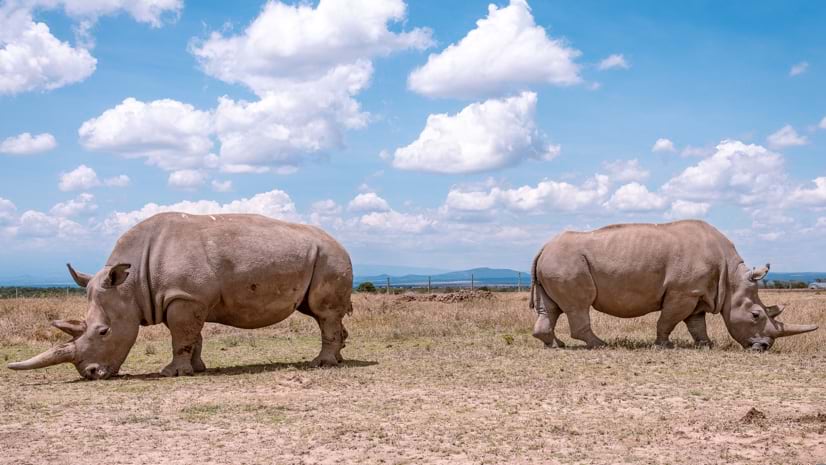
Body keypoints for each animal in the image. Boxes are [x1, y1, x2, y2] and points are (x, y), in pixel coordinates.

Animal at [8, 212, 352, 378]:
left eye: (103, 331)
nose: (91, 374)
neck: (130, 284)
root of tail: (340, 242)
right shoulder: (189, 298)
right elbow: (192, 336)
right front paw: (197, 369)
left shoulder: (184, 297)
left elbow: (181, 336)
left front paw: (172, 373)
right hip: (319, 255)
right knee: (317, 311)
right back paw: (338, 359)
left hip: (329, 255)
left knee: (323, 312)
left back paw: (321, 365)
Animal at [532, 219, 816, 350]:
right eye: (756, 315)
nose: (764, 347)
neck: (732, 280)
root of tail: (543, 247)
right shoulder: (683, 292)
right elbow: (667, 320)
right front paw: (663, 346)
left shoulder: (698, 293)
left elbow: (697, 324)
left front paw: (706, 345)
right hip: (567, 262)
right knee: (579, 306)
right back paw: (600, 345)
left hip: (556, 261)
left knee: (552, 307)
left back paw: (555, 345)